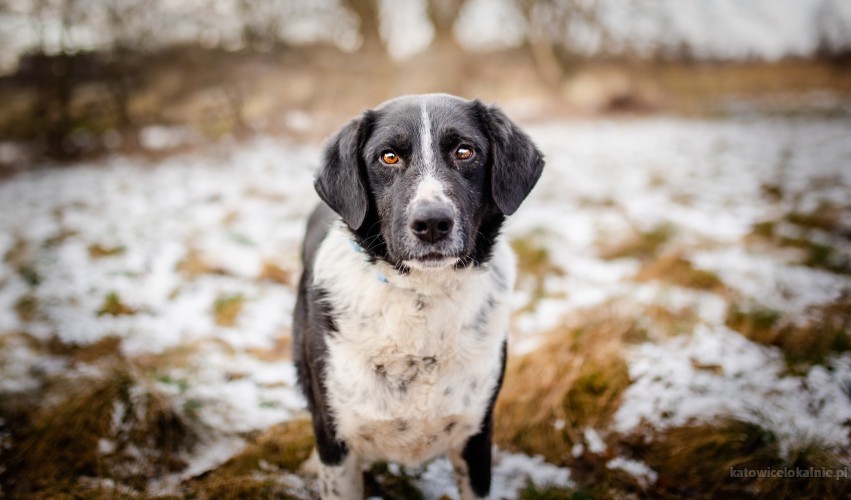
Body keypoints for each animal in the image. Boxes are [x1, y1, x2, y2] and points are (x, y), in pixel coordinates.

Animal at [296, 94, 544, 500]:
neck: (423, 295)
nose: (431, 224)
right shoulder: (337, 443)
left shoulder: (475, 436)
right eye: (389, 157)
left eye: (465, 151)